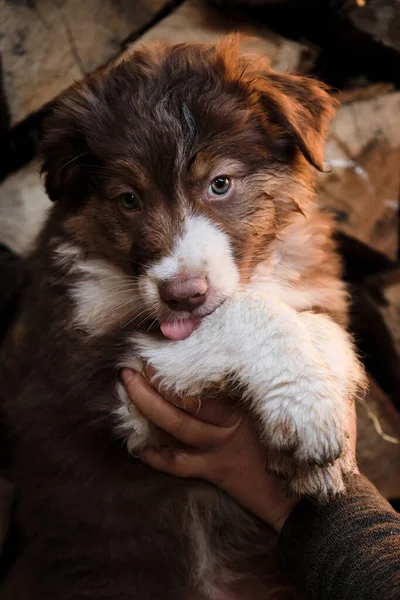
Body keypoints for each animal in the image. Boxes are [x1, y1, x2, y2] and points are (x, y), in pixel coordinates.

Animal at [0, 36, 366, 600]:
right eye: (128, 200)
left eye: (220, 183)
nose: (182, 296)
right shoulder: (88, 370)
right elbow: (250, 312)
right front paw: (306, 411)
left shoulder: (311, 289)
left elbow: (322, 327)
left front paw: (323, 435)